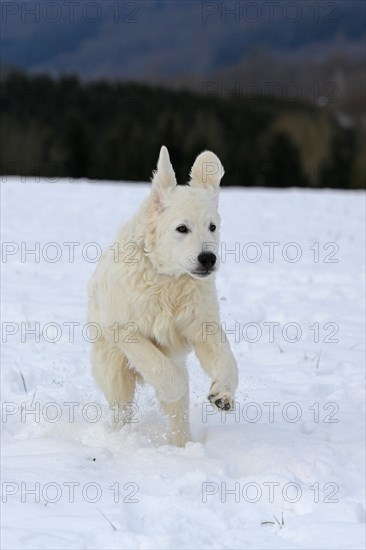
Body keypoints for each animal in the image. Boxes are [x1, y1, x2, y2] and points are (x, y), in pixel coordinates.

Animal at [88, 148, 237, 448]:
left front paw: (223, 394)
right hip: (112, 367)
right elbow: (163, 371)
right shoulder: (124, 329)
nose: (208, 258)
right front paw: (172, 385)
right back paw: (121, 438)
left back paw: (184, 446)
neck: (169, 279)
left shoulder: (202, 326)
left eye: (212, 226)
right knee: (121, 406)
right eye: (182, 228)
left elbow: (227, 360)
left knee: (178, 417)